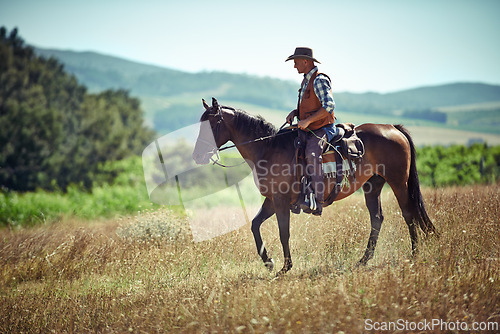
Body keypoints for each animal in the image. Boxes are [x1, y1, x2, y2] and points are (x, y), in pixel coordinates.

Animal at [193, 98, 436, 276]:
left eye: (210, 125)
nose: (197, 156)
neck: (268, 148)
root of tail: (393, 128)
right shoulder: (272, 200)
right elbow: (255, 225)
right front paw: (269, 262)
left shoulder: (280, 201)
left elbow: (283, 233)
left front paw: (285, 268)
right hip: (373, 186)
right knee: (377, 218)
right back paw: (363, 260)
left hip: (398, 182)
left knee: (408, 213)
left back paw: (414, 254)